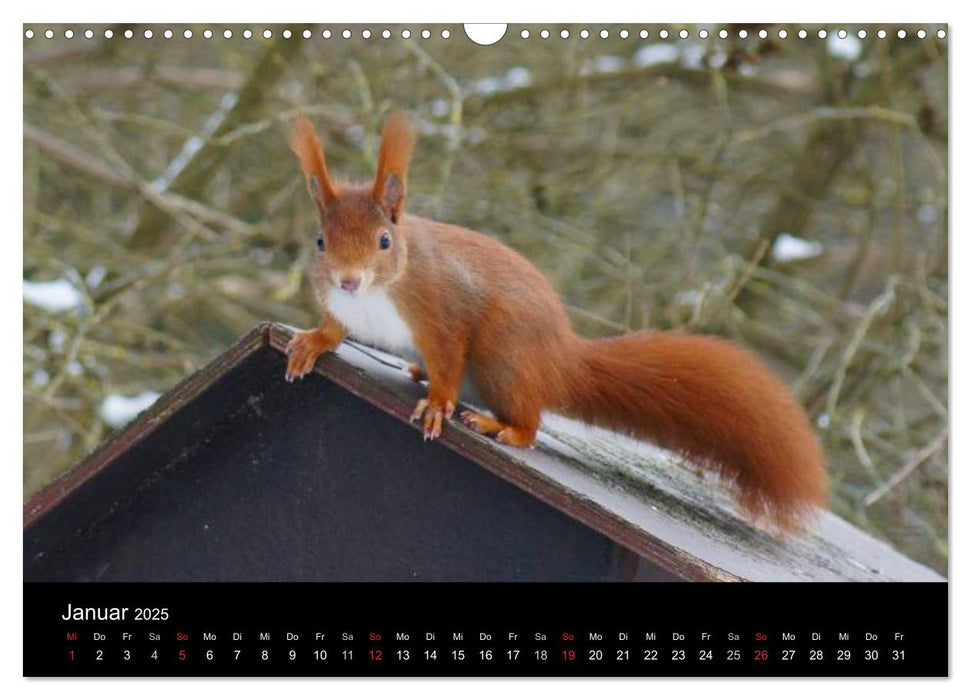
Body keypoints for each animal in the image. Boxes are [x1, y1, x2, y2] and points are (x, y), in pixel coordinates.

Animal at [286, 113, 828, 532]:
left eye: (383, 241)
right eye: (320, 241)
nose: (348, 280)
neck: (376, 294)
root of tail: (560, 360)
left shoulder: (442, 313)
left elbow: (448, 358)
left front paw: (438, 406)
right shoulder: (343, 308)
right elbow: (335, 329)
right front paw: (310, 343)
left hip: (504, 355)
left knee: (531, 424)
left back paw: (499, 426)